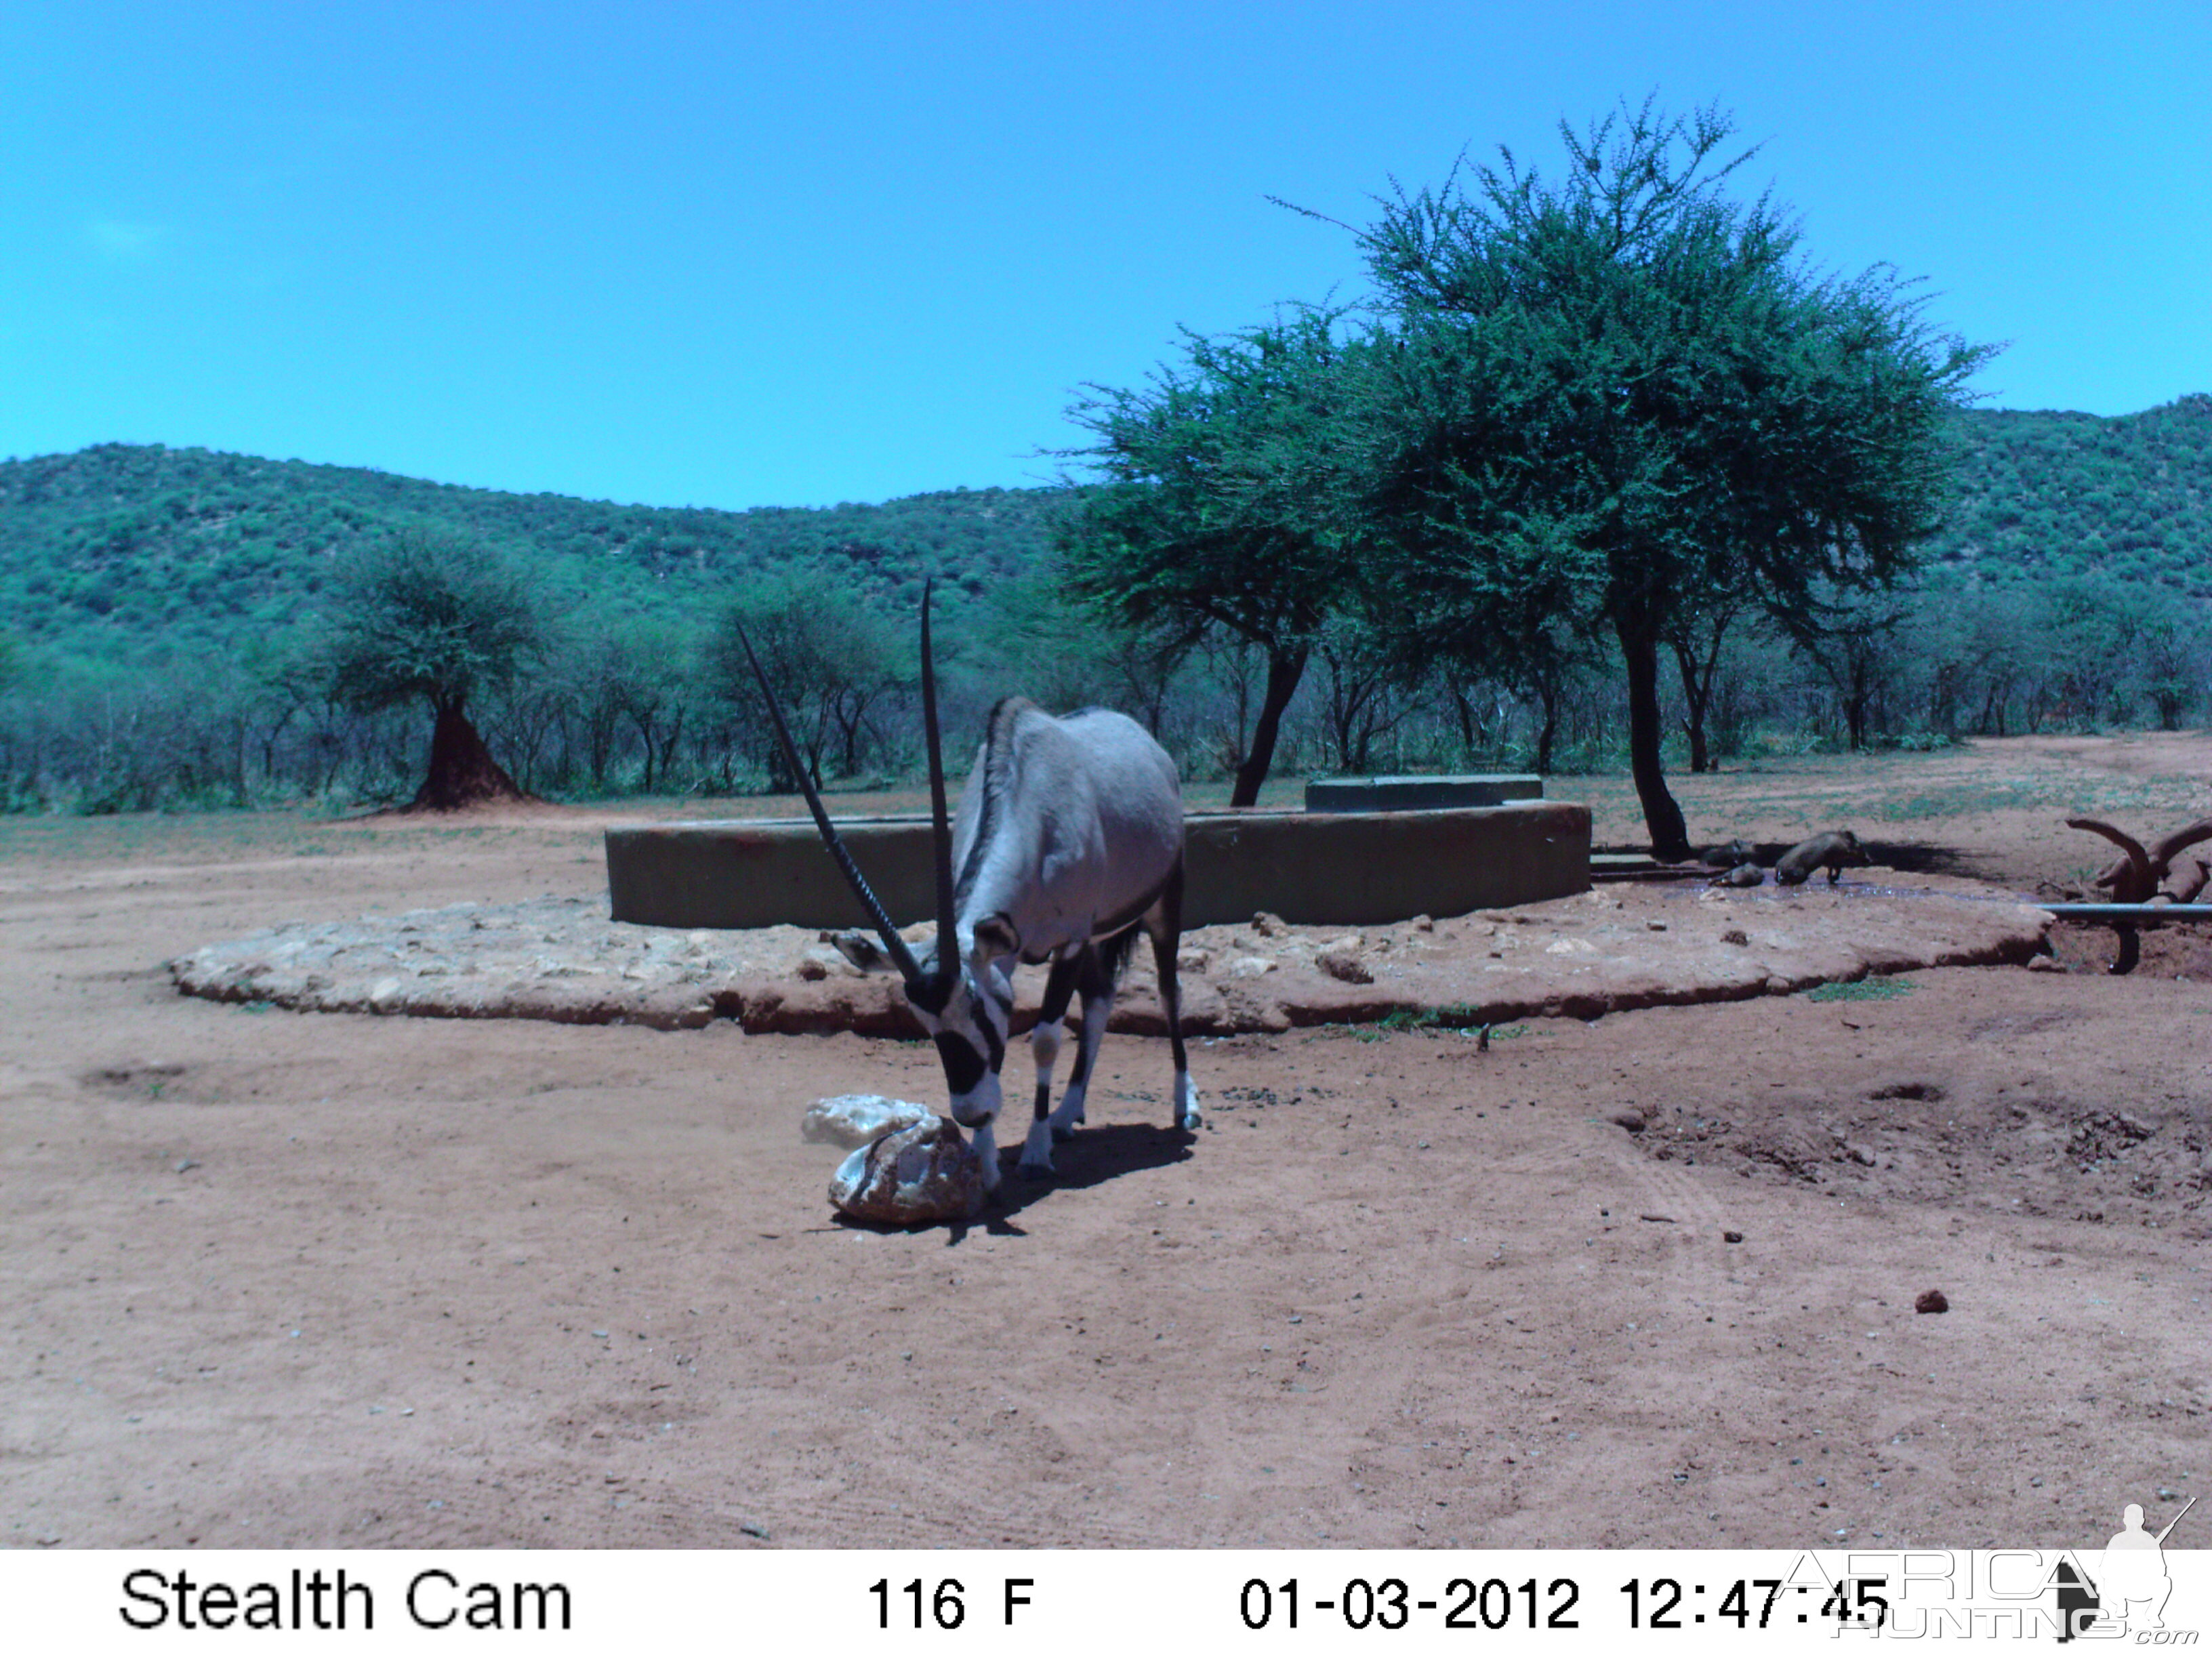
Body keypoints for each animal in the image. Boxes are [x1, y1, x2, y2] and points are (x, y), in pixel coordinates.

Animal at [739, 579, 1194, 1185]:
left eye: (978, 1010)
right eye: (925, 1023)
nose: (972, 1110)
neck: (1031, 805)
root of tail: (1146, 741)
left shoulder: (1070, 940)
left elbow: (1046, 1037)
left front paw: (1034, 1152)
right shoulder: (1035, 942)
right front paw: (985, 1161)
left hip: (1163, 903)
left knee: (1168, 991)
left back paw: (1183, 1107)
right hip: (1104, 930)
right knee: (1100, 1002)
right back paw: (1069, 1114)